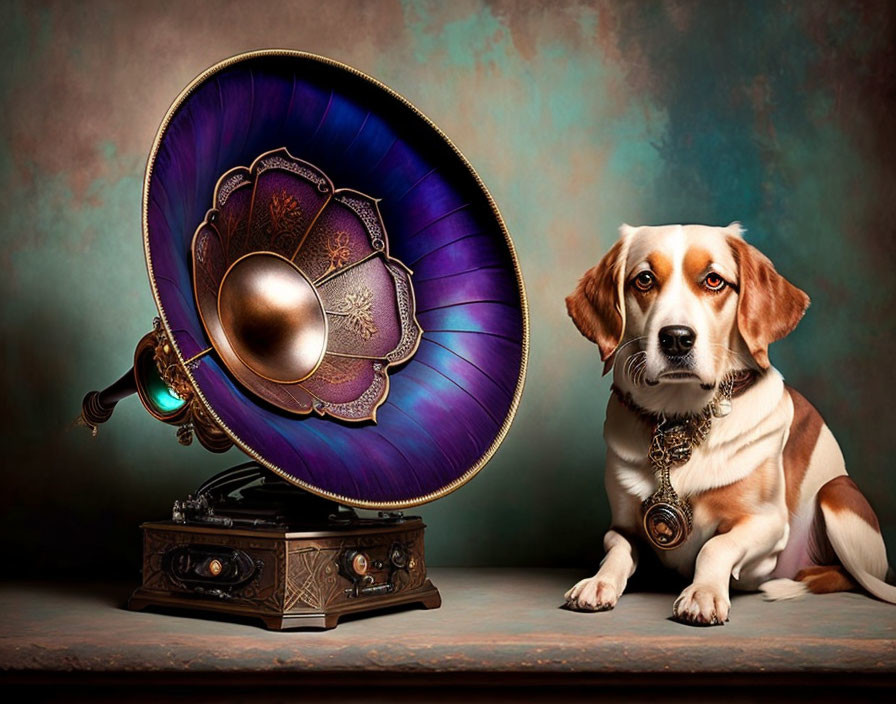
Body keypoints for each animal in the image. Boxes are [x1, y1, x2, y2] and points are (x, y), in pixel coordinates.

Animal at [564, 223, 892, 624]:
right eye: (644, 279)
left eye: (714, 280)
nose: (676, 338)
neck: (679, 419)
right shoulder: (623, 525)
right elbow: (616, 550)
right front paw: (598, 582)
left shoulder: (766, 524)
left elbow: (716, 546)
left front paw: (703, 593)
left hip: (837, 494)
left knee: (859, 578)